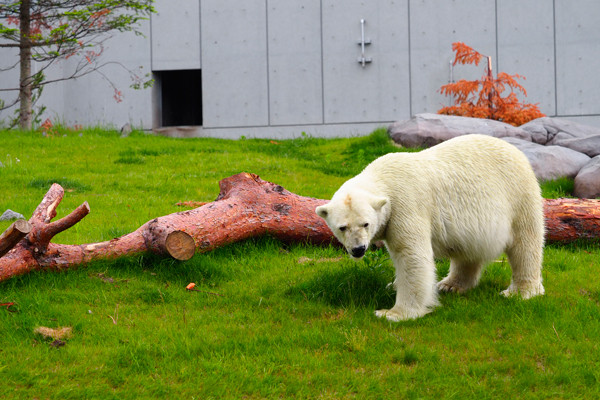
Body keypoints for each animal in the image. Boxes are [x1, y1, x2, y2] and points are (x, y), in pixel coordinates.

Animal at [316, 134, 548, 322]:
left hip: (518, 194)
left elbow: (411, 255)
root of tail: (516, 151)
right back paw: (450, 284)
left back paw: (521, 291)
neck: (384, 178)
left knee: (525, 243)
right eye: (342, 227)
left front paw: (393, 313)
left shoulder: (406, 205)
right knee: (469, 250)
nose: (358, 249)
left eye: (366, 223)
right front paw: (393, 285)